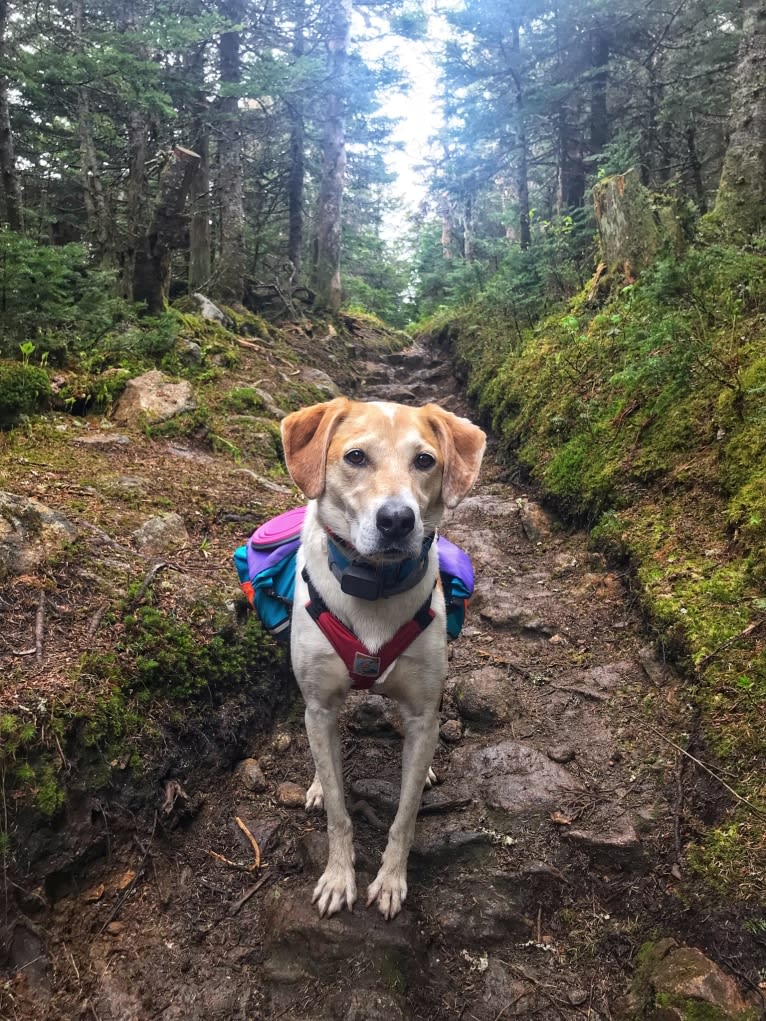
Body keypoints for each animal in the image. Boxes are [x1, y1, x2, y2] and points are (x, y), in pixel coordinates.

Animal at [279, 396, 486, 918]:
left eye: (425, 461)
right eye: (355, 457)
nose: (397, 520)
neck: (372, 584)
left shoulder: (421, 711)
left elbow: (405, 816)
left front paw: (391, 881)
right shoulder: (320, 705)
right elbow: (338, 810)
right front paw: (338, 877)